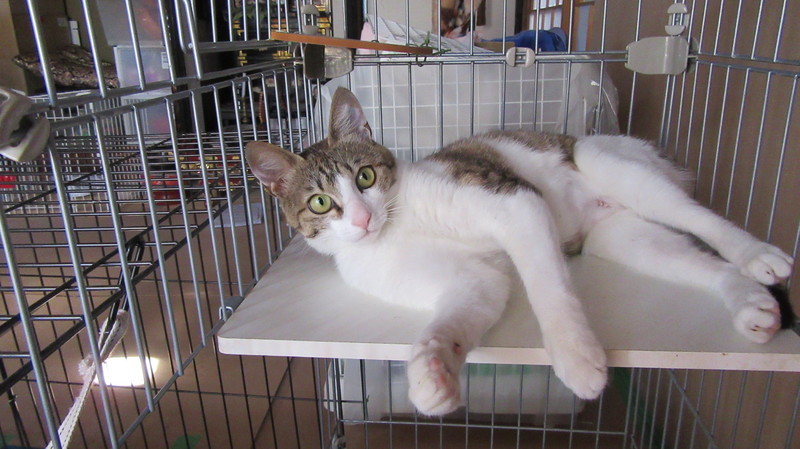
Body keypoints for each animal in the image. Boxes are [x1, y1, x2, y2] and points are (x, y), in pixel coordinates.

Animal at [245, 87, 794, 416]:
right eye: (320, 202)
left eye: (364, 177)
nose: (361, 219)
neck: (395, 230)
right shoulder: (465, 279)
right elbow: (465, 306)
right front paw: (431, 374)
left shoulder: (514, 202)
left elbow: (548, 287)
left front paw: (576, 357)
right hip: (623, 238)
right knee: (693, 261)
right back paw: (751, 302)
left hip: (609, 161)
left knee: (700, 217)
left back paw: (758, 254)